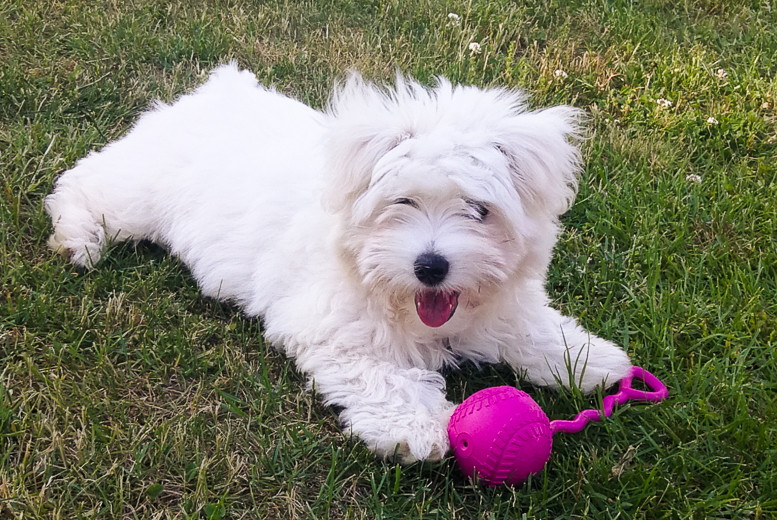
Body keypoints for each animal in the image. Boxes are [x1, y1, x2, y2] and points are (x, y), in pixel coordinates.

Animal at [45, 64, 632, 464]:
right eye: (402, 203)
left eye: (478, 210)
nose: (431, 266)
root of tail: (217, 91)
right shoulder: (332, 326)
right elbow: (379, 375)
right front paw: (416, 428)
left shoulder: (498, 303)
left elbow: (529, 326)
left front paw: (590, 361)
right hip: (139, 193)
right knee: (88, 185)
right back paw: (79, 239)